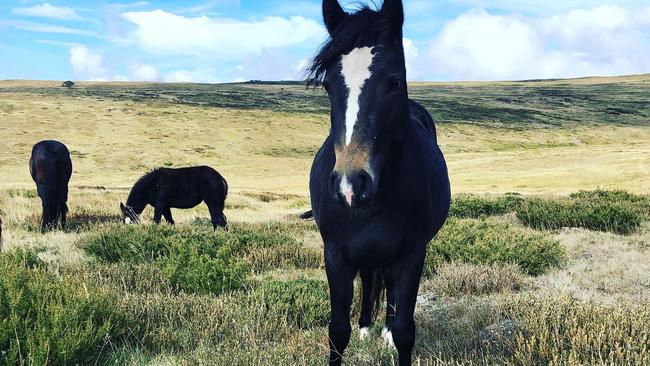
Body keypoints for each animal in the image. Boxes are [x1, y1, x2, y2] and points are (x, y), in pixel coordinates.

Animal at [306, 1, 448, 364]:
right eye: (328, 86)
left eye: (394, 82)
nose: (350, 185)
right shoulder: (335, 255)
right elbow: (337, 332)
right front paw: (356, 329)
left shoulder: (411, 254)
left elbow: (404, 330)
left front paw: (392, 334)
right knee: (370, 279)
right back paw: (366, 327)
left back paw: (382, 330)